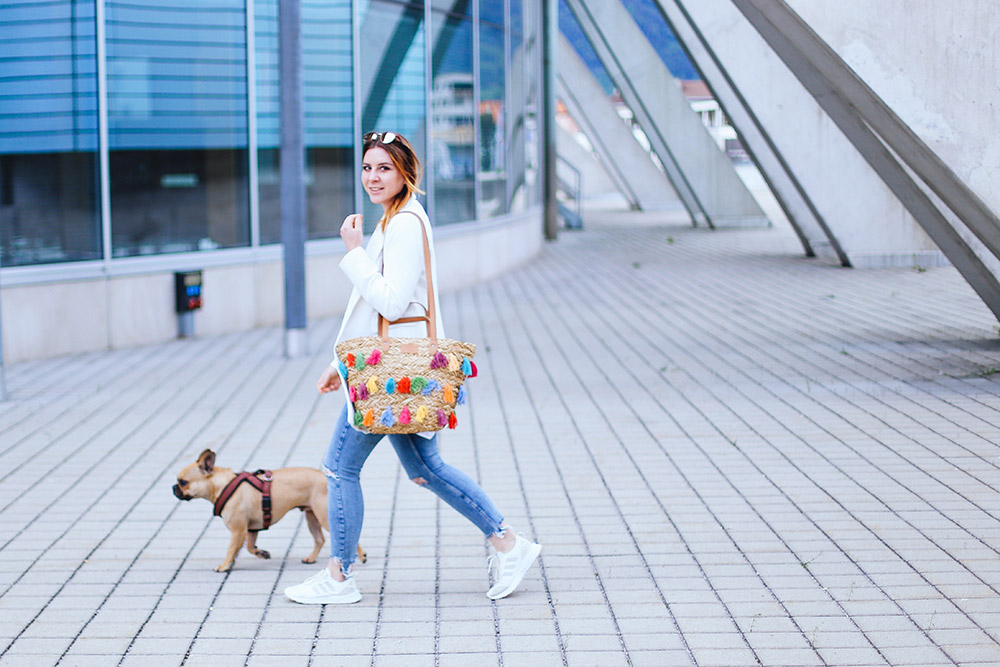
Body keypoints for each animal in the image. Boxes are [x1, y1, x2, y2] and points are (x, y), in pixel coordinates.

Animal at [173, 452, 368, 572]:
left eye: (183, 482)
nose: (173, 487)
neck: (222, 485)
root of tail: (325, 477)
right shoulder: (251, 529)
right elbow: (250, 547)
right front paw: (261, 553)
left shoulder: (238, 530)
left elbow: (231, 549)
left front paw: (225, 565)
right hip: (311, 516)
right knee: (319, 539)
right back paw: (310, 558)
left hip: (324, 515)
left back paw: (361, 556)